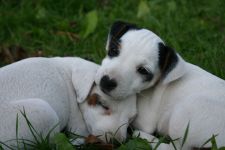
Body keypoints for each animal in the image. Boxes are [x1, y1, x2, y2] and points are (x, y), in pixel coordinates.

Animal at [96, 21, 225, 150]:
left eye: (143, 70)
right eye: (113, 50)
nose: (106, 82)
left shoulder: (145, 120)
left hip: (186, 111)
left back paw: (143, 136)